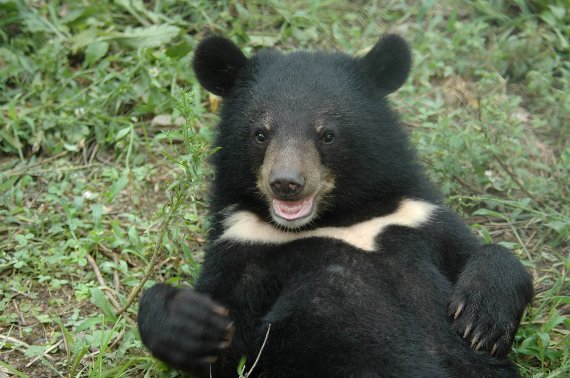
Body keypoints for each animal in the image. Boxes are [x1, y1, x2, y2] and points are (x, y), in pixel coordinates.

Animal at [138, 34, 532, 376]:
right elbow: (225, 347)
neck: (339, 219)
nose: (286, 183)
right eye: (260, 133)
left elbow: (484, 253)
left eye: (327, 134)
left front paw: (480, 320)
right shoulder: (245, 243)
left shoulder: (415, 216)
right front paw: (192, 321)